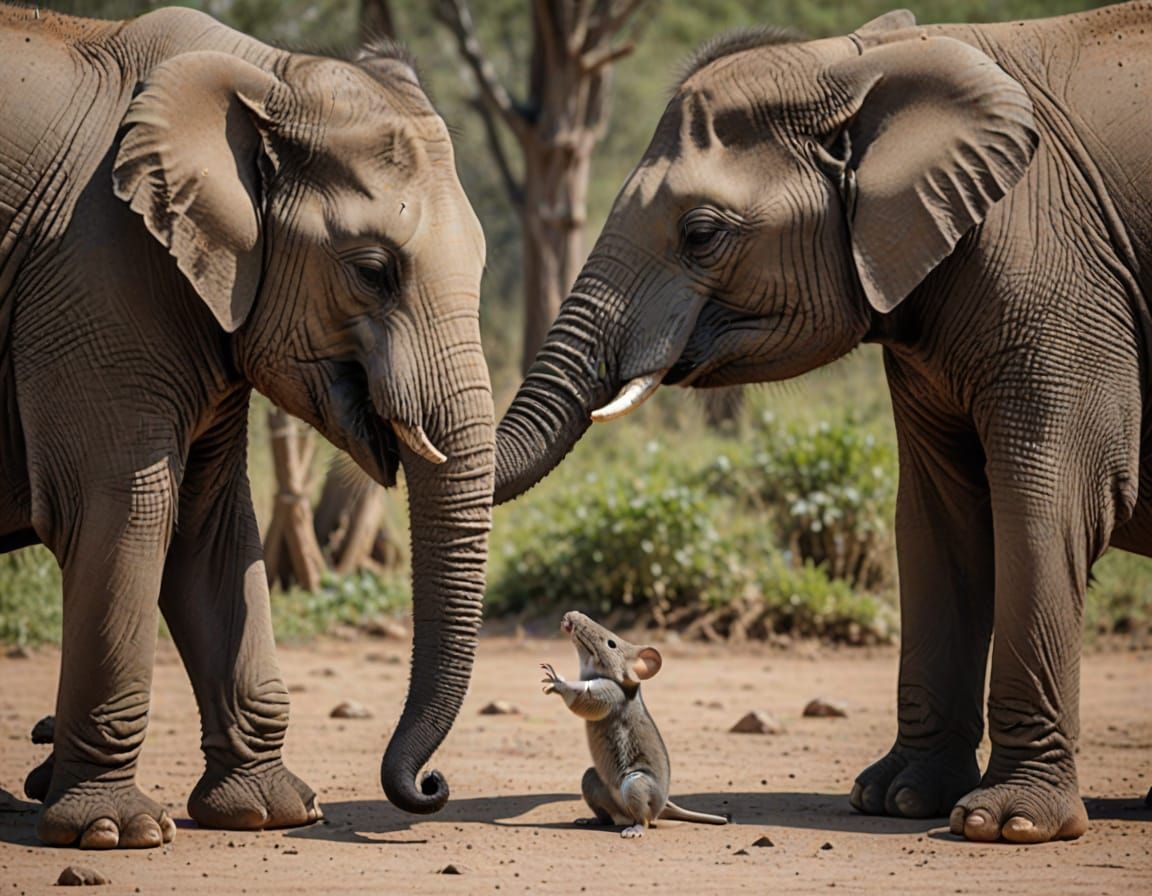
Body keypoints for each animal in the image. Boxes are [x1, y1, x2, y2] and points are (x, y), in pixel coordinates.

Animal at [0, 5, 493, 848]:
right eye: (372, 271)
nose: (430, 786)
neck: (267, 74)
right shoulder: (93, 271)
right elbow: (126, 510)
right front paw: (113, 832)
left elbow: (213, 528)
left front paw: (271, 812)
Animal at [494, 2, 1152, 844]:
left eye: (700, 233)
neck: (860, 60)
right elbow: (939, 517)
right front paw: (896, 800)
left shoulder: (1056, 270)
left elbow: (1051, 499)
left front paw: (1004, 825)